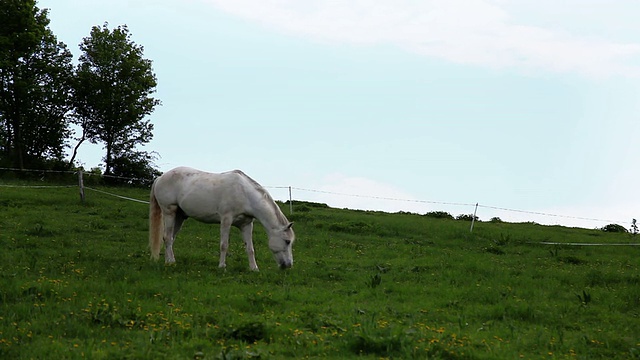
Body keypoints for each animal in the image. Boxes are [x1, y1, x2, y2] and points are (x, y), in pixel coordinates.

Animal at [148, 166, 296, 270]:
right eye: (287, 241)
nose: (288, 265)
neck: (245, 194)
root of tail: (160, 178)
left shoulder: (246, 225)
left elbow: (250, 248)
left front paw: (254, 268)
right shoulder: (226, 220)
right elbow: (224, 245)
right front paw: (222, 266)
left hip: (180, 216)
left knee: (170, 238)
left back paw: (169, 261)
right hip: (169, 212)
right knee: (167, 237)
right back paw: (170, 262)